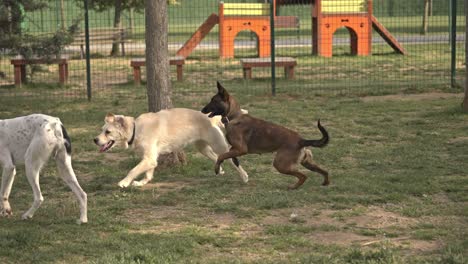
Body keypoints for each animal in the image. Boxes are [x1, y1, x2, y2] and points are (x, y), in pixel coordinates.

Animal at [93, 107, 250, 188]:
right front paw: (142, 183)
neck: (136, 129)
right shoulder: (151, 159)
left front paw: (124, 182)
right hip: (203, 148)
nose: (95, 140)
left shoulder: (149, 159)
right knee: (217, 158)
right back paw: (221, 170)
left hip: (219, 145)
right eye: (102, 130)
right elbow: (148, 173)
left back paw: (244, 177)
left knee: (233, 160)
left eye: (108, 132)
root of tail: (210, 118)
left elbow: (133, 170)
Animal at [201, 81, 330, 189]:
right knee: (324, 171)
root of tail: (301, 140)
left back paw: (293, 187)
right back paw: (325, 183)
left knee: (303, 176)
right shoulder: (235, 149)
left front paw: (217, 169)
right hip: (307, 162)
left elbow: (221, 156)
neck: (234, 117)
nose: (202, 110)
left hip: (280, 164)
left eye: (214, 100)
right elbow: (228, 156)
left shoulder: (241, 149)